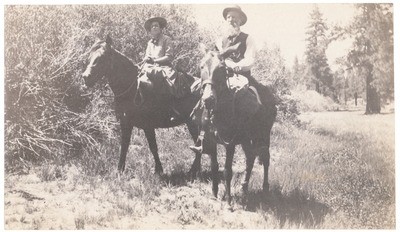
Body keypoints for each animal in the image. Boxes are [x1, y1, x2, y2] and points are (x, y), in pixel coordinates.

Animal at [81, 35, 202, 175]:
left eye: (102, 57)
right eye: (89, 56)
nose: (85, 77)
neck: (132, 89)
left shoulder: (148, 125)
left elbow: (153, 147)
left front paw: (159, 170)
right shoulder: (125, 123)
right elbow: (124, 146)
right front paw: (119, 170)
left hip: (194, 123)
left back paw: (193, 171)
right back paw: (195, 171)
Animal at [196, 49, 276, 203]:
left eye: (221, 68)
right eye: (201, 66)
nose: (208, 99)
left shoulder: (230, 144)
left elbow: (227, 171)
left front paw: (228, 200)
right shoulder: (211, 141)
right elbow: (214, 167)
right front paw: (214, 194)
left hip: (264, 135)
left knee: (265, 158)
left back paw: (265, 187)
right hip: (246, 139)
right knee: (250, 158)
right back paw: (244, 187)